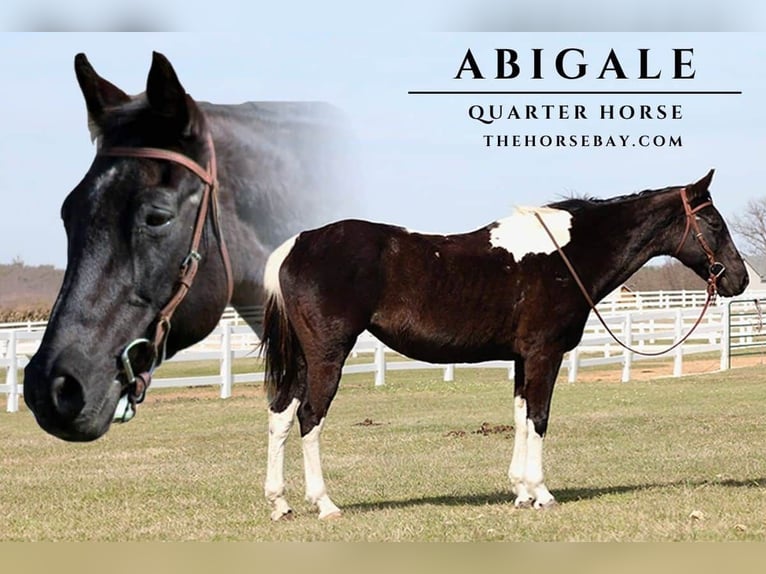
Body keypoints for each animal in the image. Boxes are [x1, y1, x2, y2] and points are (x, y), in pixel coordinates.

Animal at [259, 169, 748, 520]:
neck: (567, 255)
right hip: (328, 355)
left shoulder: (521, 358)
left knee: (280, 416)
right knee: (309, 417)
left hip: (303, 360)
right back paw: (325, 504)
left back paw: (280, 503)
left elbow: (519, 417)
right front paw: (542, 494)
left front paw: (521, 493)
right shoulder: (544, 354)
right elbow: (539, 418)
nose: (740, 280)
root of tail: (297, 245)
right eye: (712, 221)